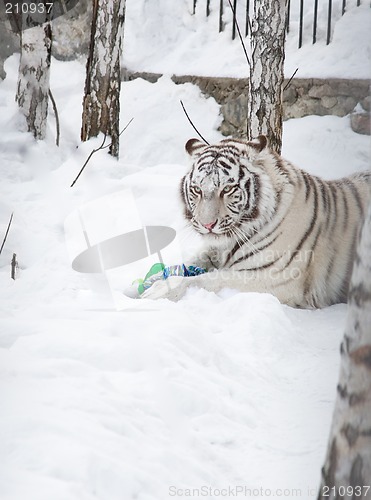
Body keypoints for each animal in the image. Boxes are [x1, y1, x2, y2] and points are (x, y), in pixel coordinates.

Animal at [143, 137, 371, 308]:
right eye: (197, 189)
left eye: (227, 189)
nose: (207, 225)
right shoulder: (212, 252)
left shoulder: (277, 279)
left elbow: (209, 279)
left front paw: (158, 291)